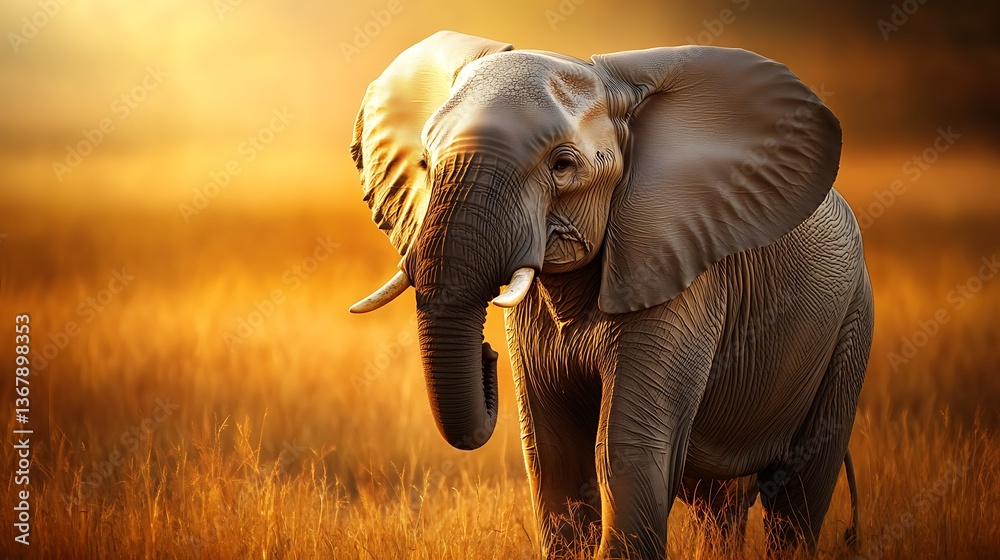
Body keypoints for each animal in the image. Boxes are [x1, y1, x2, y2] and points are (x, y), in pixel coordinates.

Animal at [348, 31, 873, 559]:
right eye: (425, 163)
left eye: (562, 165)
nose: (488, 355)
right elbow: (553, 453)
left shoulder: (678, 274)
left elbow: (627, 448)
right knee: (719, 504)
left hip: (851, 324)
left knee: (798, 492)